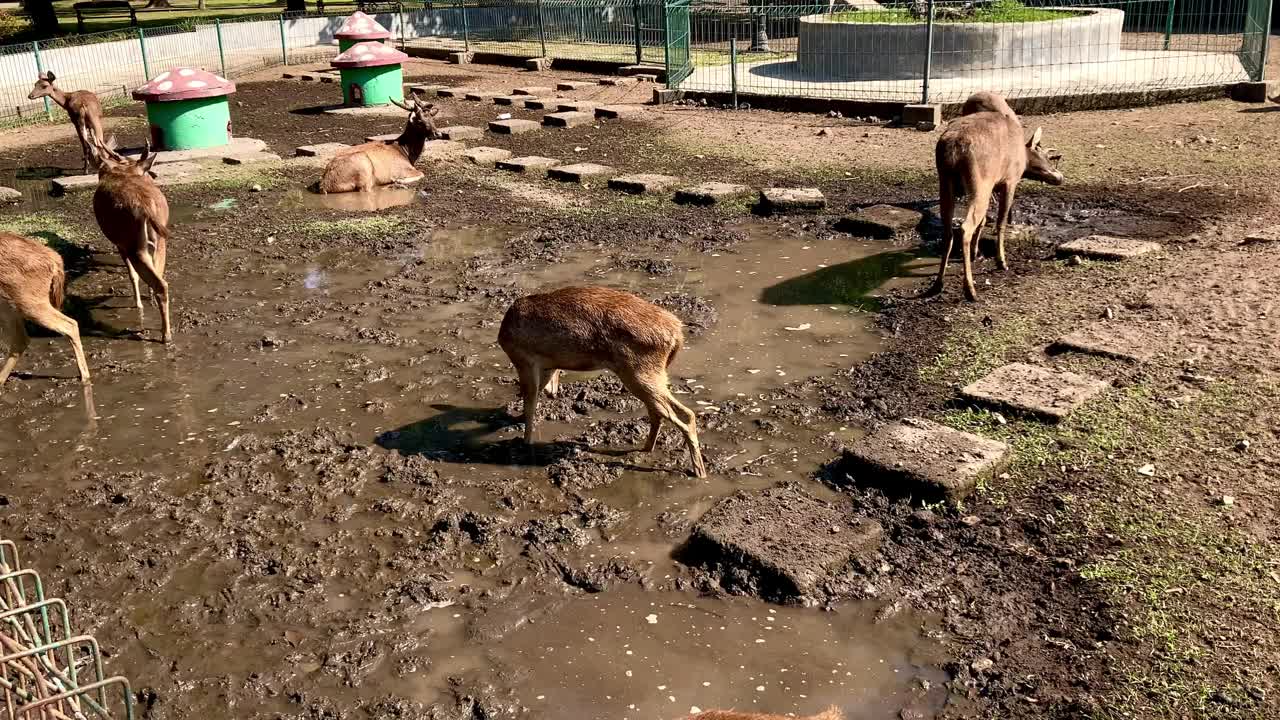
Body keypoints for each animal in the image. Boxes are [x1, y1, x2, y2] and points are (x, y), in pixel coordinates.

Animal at [0, 230, 91, 386]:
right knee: (21, 339)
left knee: (71, 324)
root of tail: (55, 258)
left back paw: (85, 377)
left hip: (29, 302)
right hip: (10, 305)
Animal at [90, 137, 175, 345]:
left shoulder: (120, 243)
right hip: (160, 240)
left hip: (133, 243)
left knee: (160, 283)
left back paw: (165, 334)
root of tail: (147, 206)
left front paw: (137, 304)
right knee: (160, 275)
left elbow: (131, 274)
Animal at [312, 94, 442, 193]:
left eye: (432, 117)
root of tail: (325, 185)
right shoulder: (404, 169)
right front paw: (398, 180)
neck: (407, 153)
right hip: (364, 168)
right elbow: (421, 173)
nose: (438, 133)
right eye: (420, 121)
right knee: (366, 190)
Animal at [494, 284, 711, 476]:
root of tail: (677, 333)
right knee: (660, 412)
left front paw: (524, 442)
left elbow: (530, 404)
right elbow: (539, 393)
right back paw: (646, 449)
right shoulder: (546, 364)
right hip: (652, 373)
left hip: (639, 372)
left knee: (684, 414)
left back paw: (698, 471)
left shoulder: (524, 359)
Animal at [926, 90, 1064, 302]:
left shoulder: (993, 185)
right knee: (965, 227)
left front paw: (977, 252)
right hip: (979, 182)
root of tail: (953, 150)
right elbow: (1000, 222)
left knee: (949, 229)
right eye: (1047, 156)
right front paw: (1002, 261)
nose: (1060, 177)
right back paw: (970, 289)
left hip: (945, 182)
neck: (1023, 159)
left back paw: (938, 282)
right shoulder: (1009, 181)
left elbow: (984, 221)